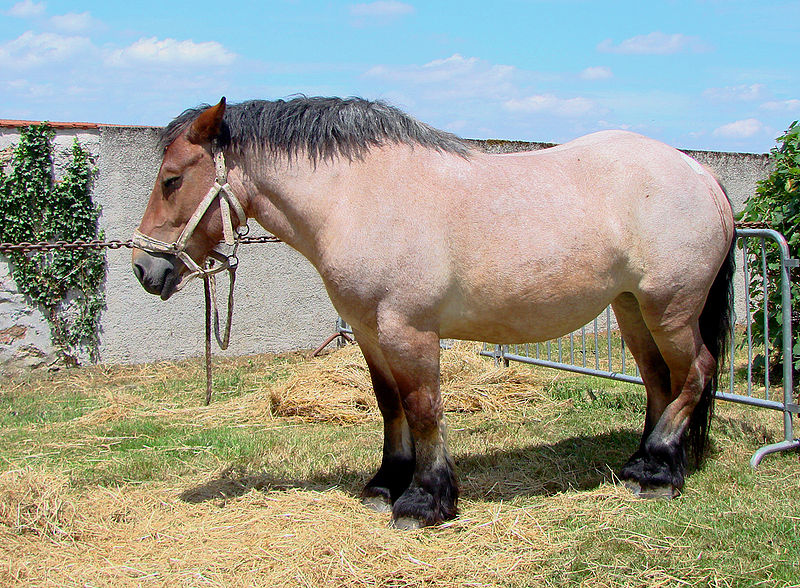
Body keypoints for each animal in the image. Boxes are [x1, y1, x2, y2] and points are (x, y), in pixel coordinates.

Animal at [133, 96, 736, 528]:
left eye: (172, 180)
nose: (145, 269)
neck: (359, 198)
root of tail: (699, 174)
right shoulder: (370, 333)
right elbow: (390, 406)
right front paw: (385, 484)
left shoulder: (409, 332)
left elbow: (423, 409)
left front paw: (424, 501)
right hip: (632, 309)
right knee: (660, 381)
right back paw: (644, 463)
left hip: (670, 309)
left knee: (696, 373)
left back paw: (658, 473)